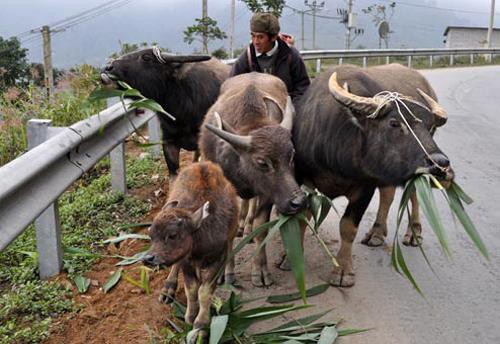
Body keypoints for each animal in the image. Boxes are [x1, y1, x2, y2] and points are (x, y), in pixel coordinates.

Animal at [144, 162, 239, 342]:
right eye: (151, 234)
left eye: (172, 235)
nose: (148, 258)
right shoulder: (186, 262)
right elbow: (192, 289)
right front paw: (189, 317)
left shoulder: (217, 258)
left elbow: (204, 292)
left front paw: (200, 326)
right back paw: (168, 289)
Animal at [199, 72, 308, 288]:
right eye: (262, 163)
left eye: (292, 155)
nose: (299, 201)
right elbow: (228, 231)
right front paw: (226, 272)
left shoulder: (267, 195)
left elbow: (261, 229)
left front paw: (260, 270)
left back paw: (247, 224)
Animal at [292, 64, 454, 288]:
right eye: (394, 123)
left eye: (430, 126)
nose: (442, 164)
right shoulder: (303, 180)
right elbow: (302, 220)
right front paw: (288, 259)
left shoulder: (365, 187)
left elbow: (348, 227)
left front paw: (343, 271)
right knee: (388, 194)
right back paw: (377, 233)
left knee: (413, 193)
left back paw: (413, 232)